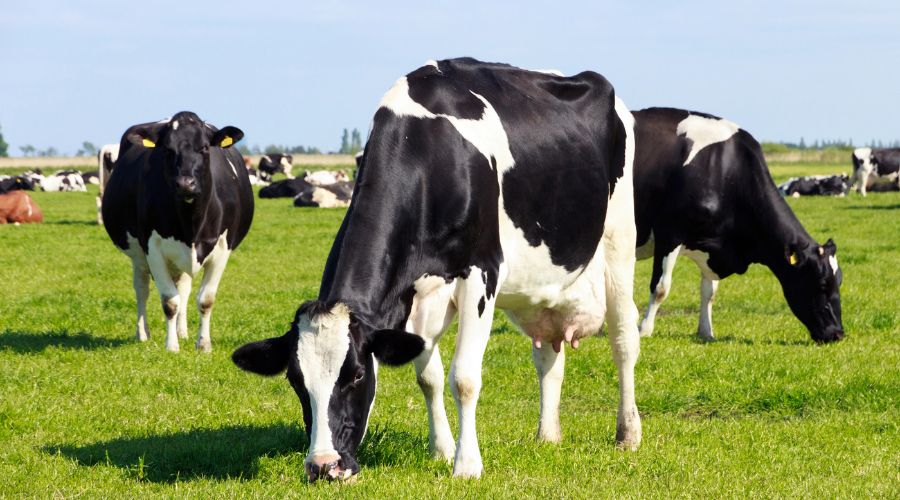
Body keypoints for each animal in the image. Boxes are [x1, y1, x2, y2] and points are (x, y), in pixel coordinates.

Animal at [102, 111, 254, 352]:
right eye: (167, 150)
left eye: (204, 148)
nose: (185, 184)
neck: (191, 222)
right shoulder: (152, 248)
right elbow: (169, 301)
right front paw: (171, 346)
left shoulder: (223, 248)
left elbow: (205, 299)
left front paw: (203, 344)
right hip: (138, 256)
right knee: (142, 289)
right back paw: (143, 333)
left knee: (183, 289)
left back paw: (182, 331)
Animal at [232, 58, 642, 481]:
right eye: (295, 380)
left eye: (357, 374)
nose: (324, 466)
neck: (426, 152)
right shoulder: (413, 292)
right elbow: (427, 377)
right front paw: (441, 451)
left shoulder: (482, 272)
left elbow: (463, 377)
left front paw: (467, 465)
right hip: (543, 288)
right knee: (548, 356)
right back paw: (547, 435)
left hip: (619, 240)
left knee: (624, 339)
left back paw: (627, 433)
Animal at [631, 107, 844, 343]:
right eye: (821, 283)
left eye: (839, 282)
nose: (838, 333)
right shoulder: (669, 233)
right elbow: (661, 287)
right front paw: (643, 330)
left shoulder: (710, 244)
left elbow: (709, 292)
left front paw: (706, 332)